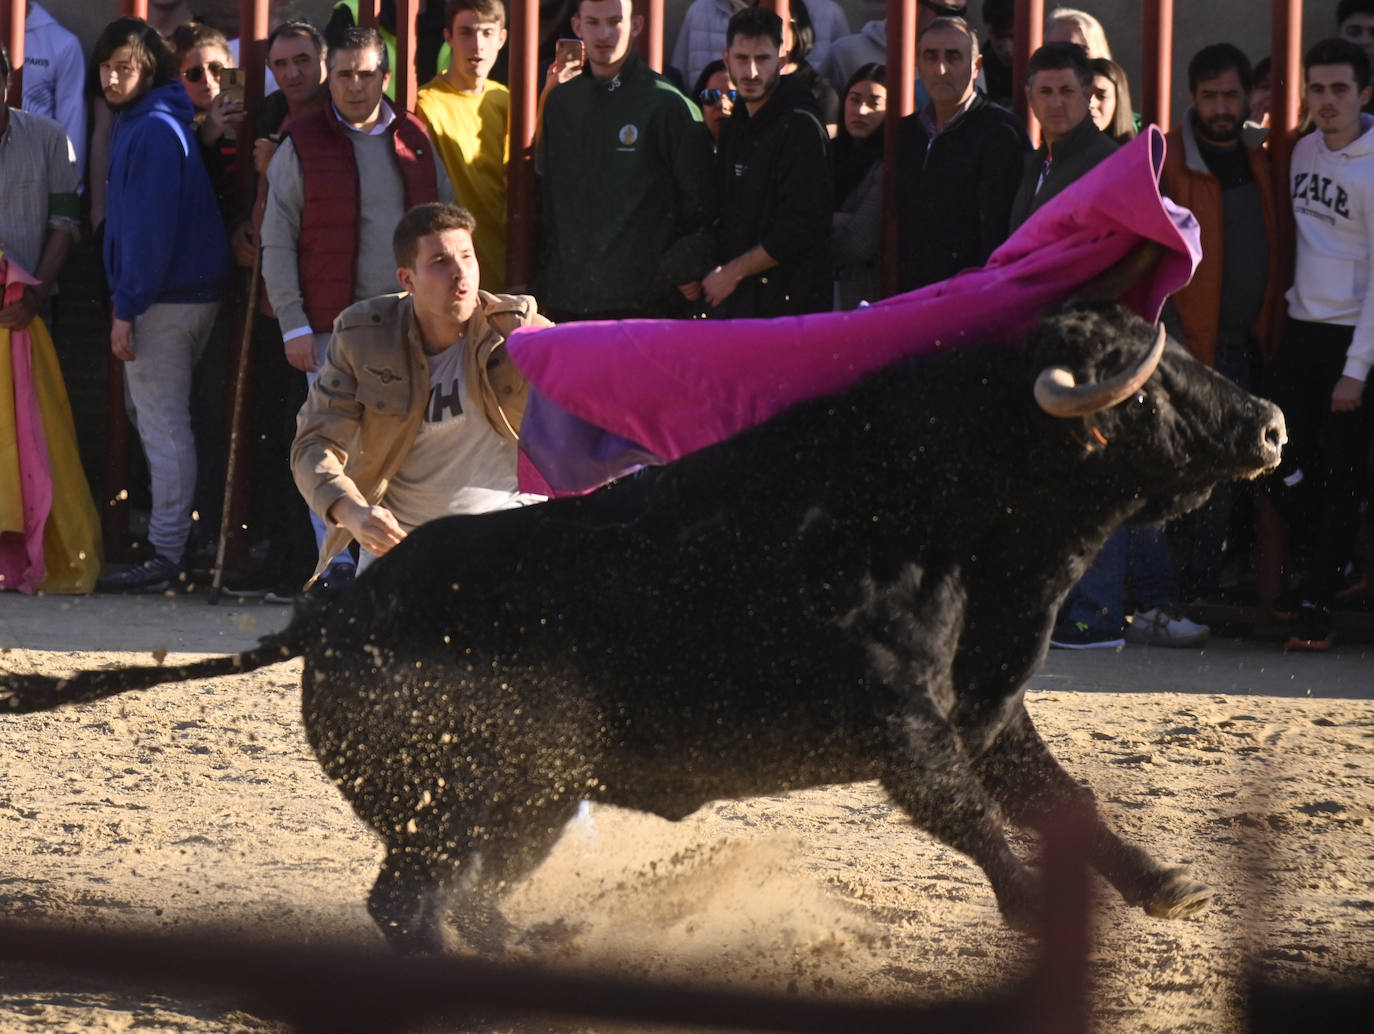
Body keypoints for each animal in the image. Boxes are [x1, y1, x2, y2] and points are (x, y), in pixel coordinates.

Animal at [2, 304, 1286, 950]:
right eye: (1151, 382)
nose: (1272, 421)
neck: (927, 502)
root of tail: (334, 607)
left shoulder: (984, 709)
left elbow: (1060, 795)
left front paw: (1166, 884)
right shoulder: (899, 729)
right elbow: (976, 819)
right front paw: (1032, 911)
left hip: (519, 802)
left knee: (462, 897)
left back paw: (541, 942)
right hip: (454, 798)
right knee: (412, 904)